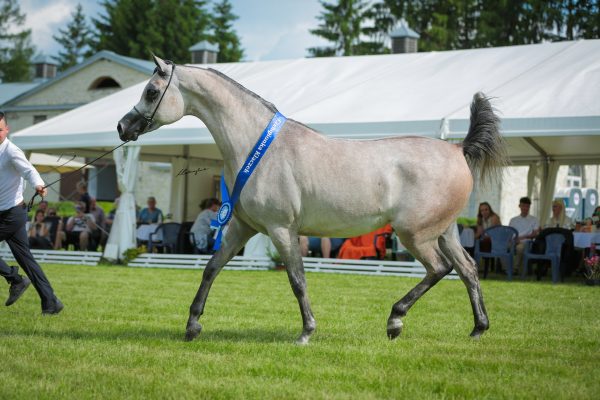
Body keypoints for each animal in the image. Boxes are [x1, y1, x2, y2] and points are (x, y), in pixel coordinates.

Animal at [119, 55, 508, 344]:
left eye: (151, 91)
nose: (123, 127)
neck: (258, 145)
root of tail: (458, 150)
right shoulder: (242, 228)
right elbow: (212, 268)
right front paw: (192, 326)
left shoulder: (281, 230)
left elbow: (297, 279)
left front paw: (306, 332)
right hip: (445, 232)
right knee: (468, 270)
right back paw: (478, 328)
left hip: (414, 234)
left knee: (439, 269)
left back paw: (395, 321)